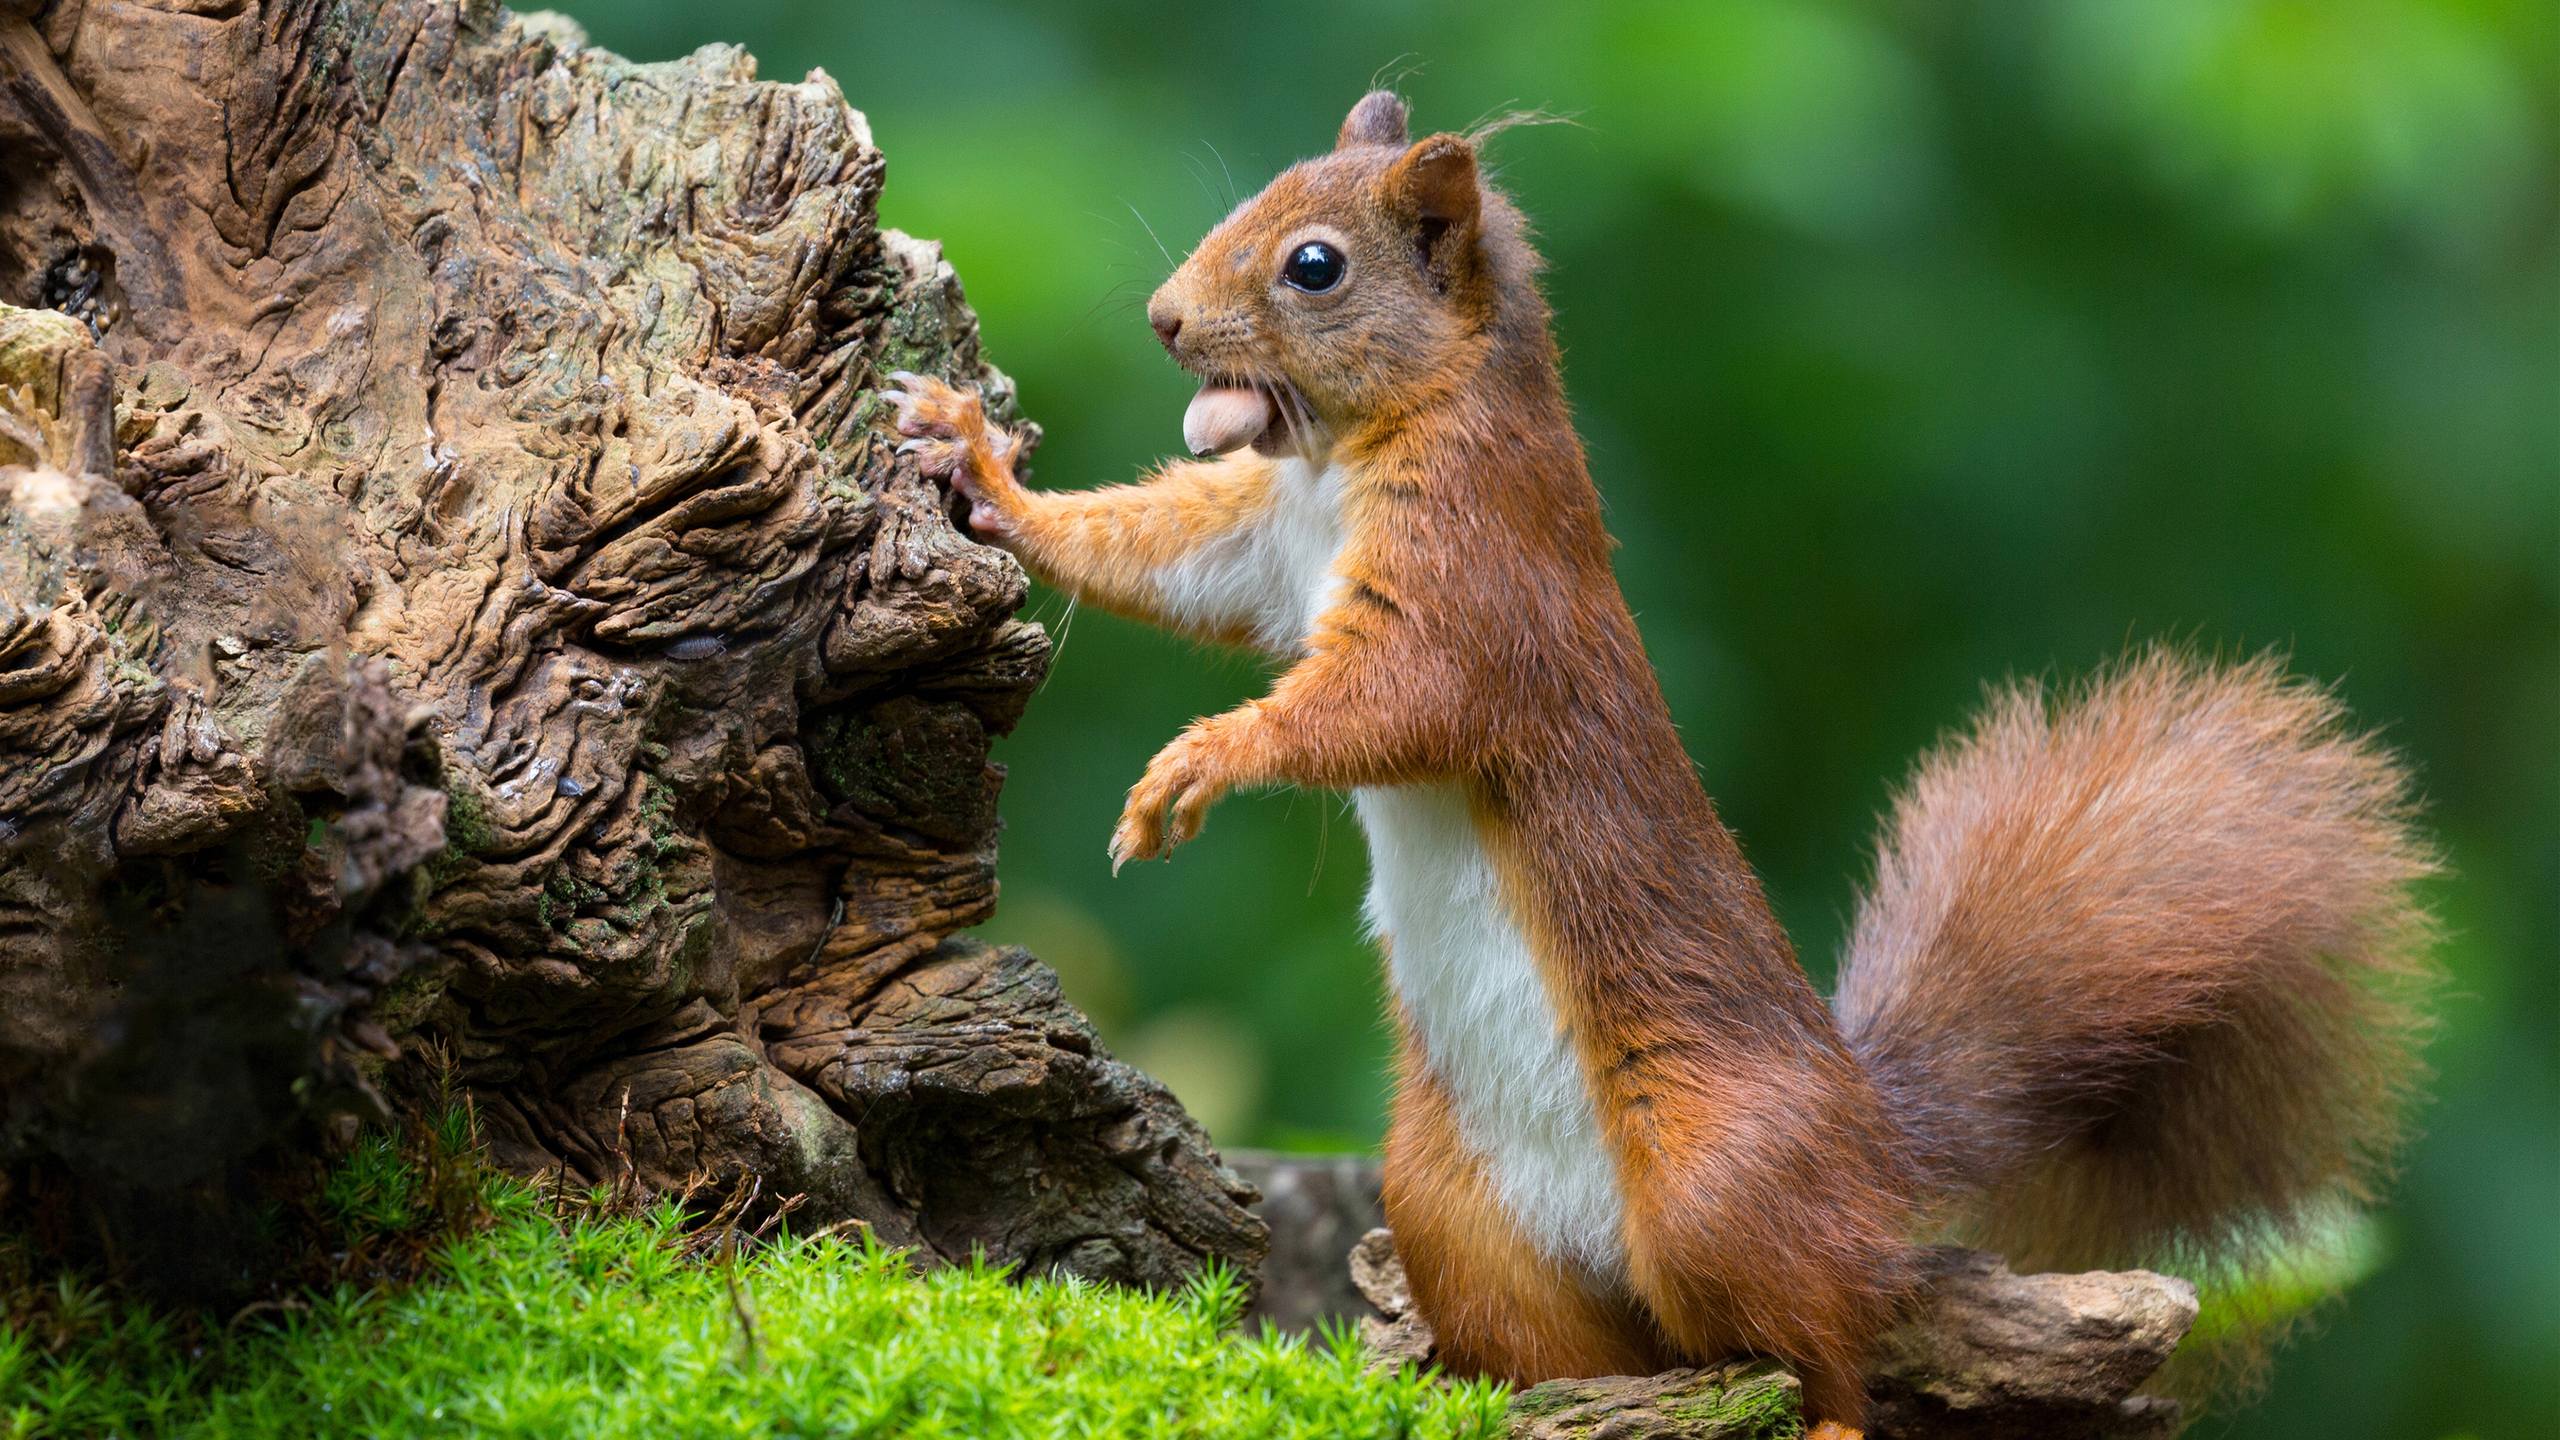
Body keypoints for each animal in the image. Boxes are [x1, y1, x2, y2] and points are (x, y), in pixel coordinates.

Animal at [896, 92, 2437, 1434]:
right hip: (1451, 1211)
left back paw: (1823, 1399)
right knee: (1600, 1349)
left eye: (1314, 264)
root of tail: (1875, 1149)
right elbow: (1158, 556)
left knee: (1829, 1339)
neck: (1359, 450)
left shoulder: (1477, 590)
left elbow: (1382, 706)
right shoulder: (1261, 545)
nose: (1164, 317)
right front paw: (979, 461)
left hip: (1716, 1179)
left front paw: (1197, 765)